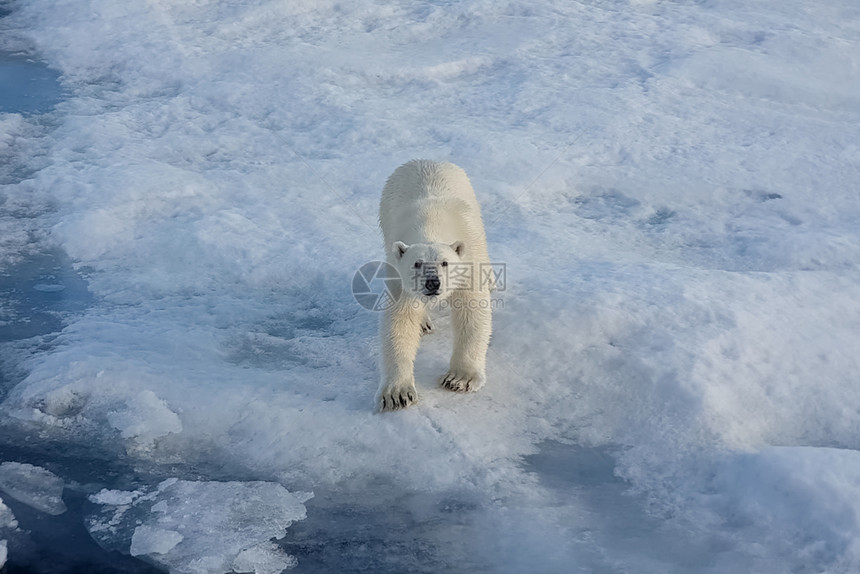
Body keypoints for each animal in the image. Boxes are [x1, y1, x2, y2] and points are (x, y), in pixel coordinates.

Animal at [374, 162, 490, 412]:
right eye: (417, 263)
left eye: (445, 263)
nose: (432, 282)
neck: (431, 222)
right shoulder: (400, 277)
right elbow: (400, 320)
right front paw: (398, 394)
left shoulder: (468, 261)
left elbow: (472, 312)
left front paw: (459, 379)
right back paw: (424, 323)